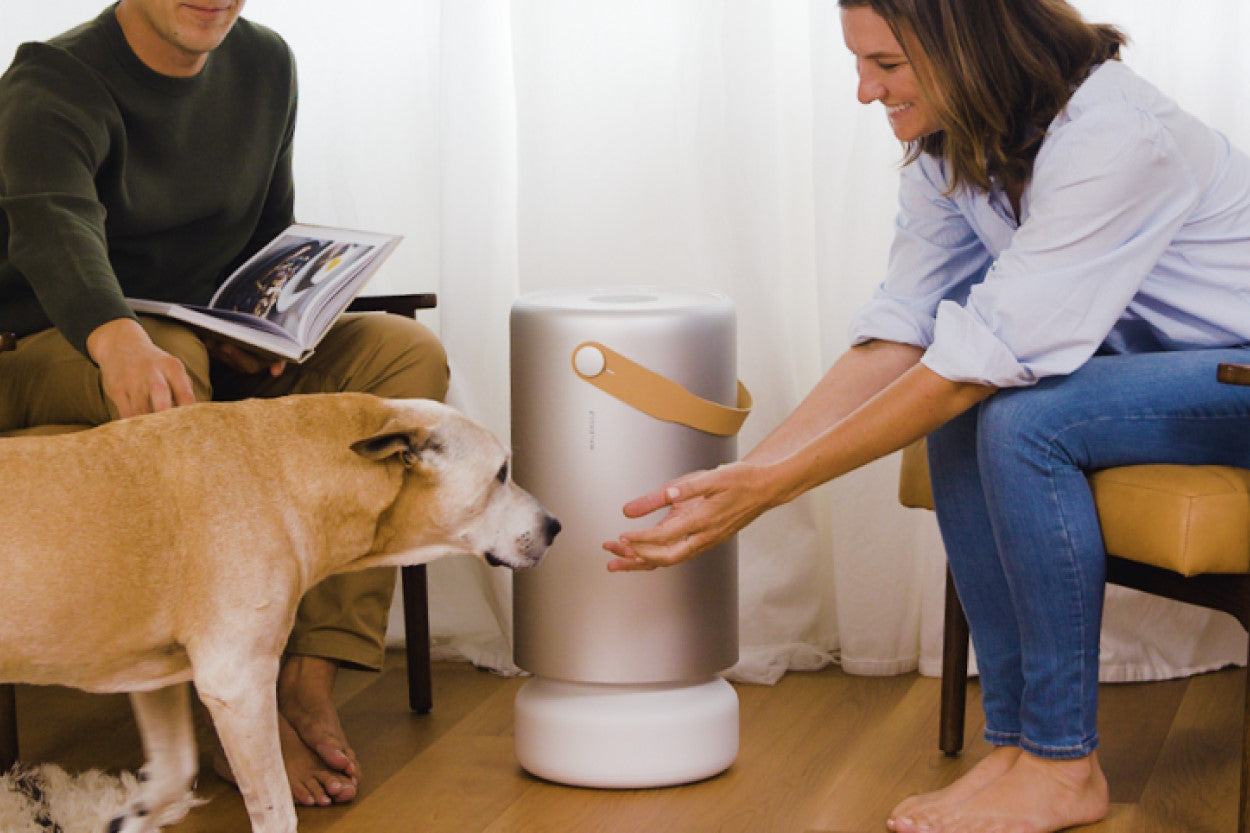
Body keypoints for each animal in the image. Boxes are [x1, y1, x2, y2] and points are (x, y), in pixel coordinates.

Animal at [0, 390, 557, 830]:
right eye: (501, 473)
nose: (555, 526)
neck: (283, 471)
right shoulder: (239, 685)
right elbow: (276, 810)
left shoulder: (156, 678)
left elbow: (172, 775)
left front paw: (127, 816)